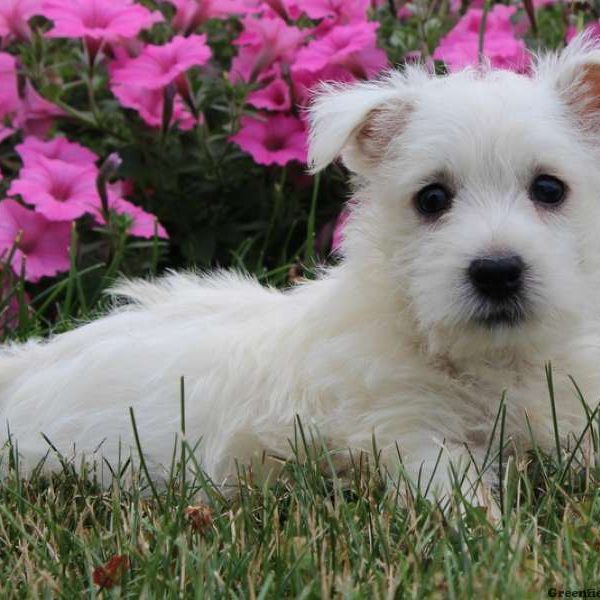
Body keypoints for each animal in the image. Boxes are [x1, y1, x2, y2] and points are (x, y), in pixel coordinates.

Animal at [1, 37, 600, 502]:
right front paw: (490, 532)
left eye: (549, 189)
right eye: (432, 198)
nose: (497, 271)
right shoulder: (406, 429)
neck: (492, 361)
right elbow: (454, 488)